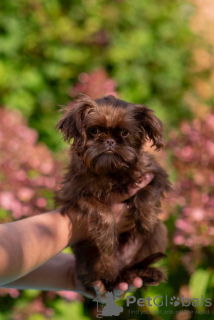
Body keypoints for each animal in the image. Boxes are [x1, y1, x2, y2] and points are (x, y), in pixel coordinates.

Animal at [55, 94, 171, 292]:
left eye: (124, 133)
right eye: (94, 131)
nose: (109, 141)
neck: (110, 170)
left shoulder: (154, 173)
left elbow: (148, 193)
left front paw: (146, 219)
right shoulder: (75, 194)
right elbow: (103, 211)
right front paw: (108, 239)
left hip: (160, 232)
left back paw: (148, 272)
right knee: (109, 276)